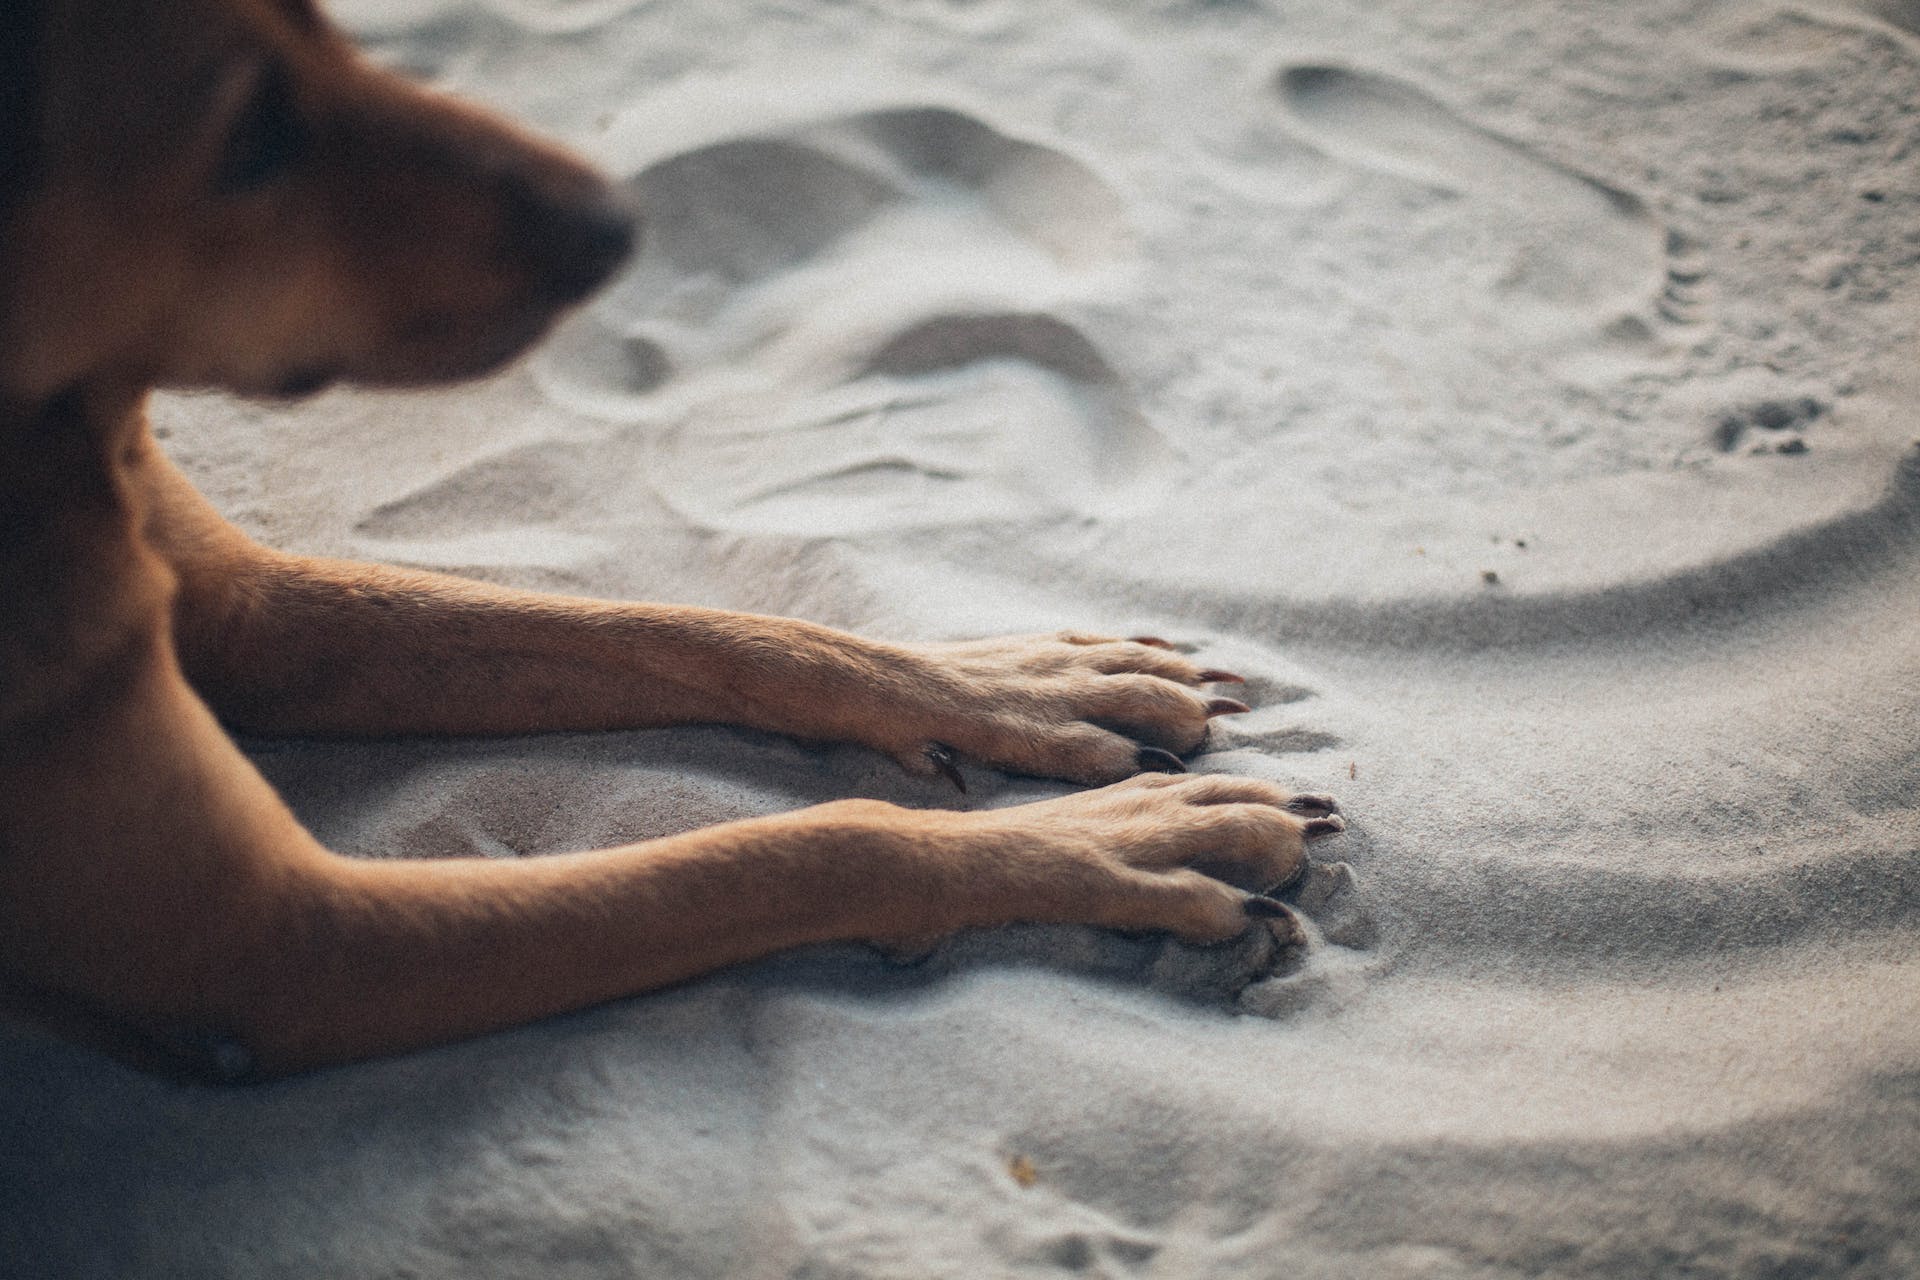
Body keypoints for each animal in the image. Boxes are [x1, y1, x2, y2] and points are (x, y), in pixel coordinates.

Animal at [0, 0, 1344, 1082]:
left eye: (335, 31)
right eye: (250, 139)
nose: (614, 224)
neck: (62, 428)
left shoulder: (251, 612)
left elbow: (710, 628)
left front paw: (1012, 686)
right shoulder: (287, 942)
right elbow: (809, 844)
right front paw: (1132, 839)